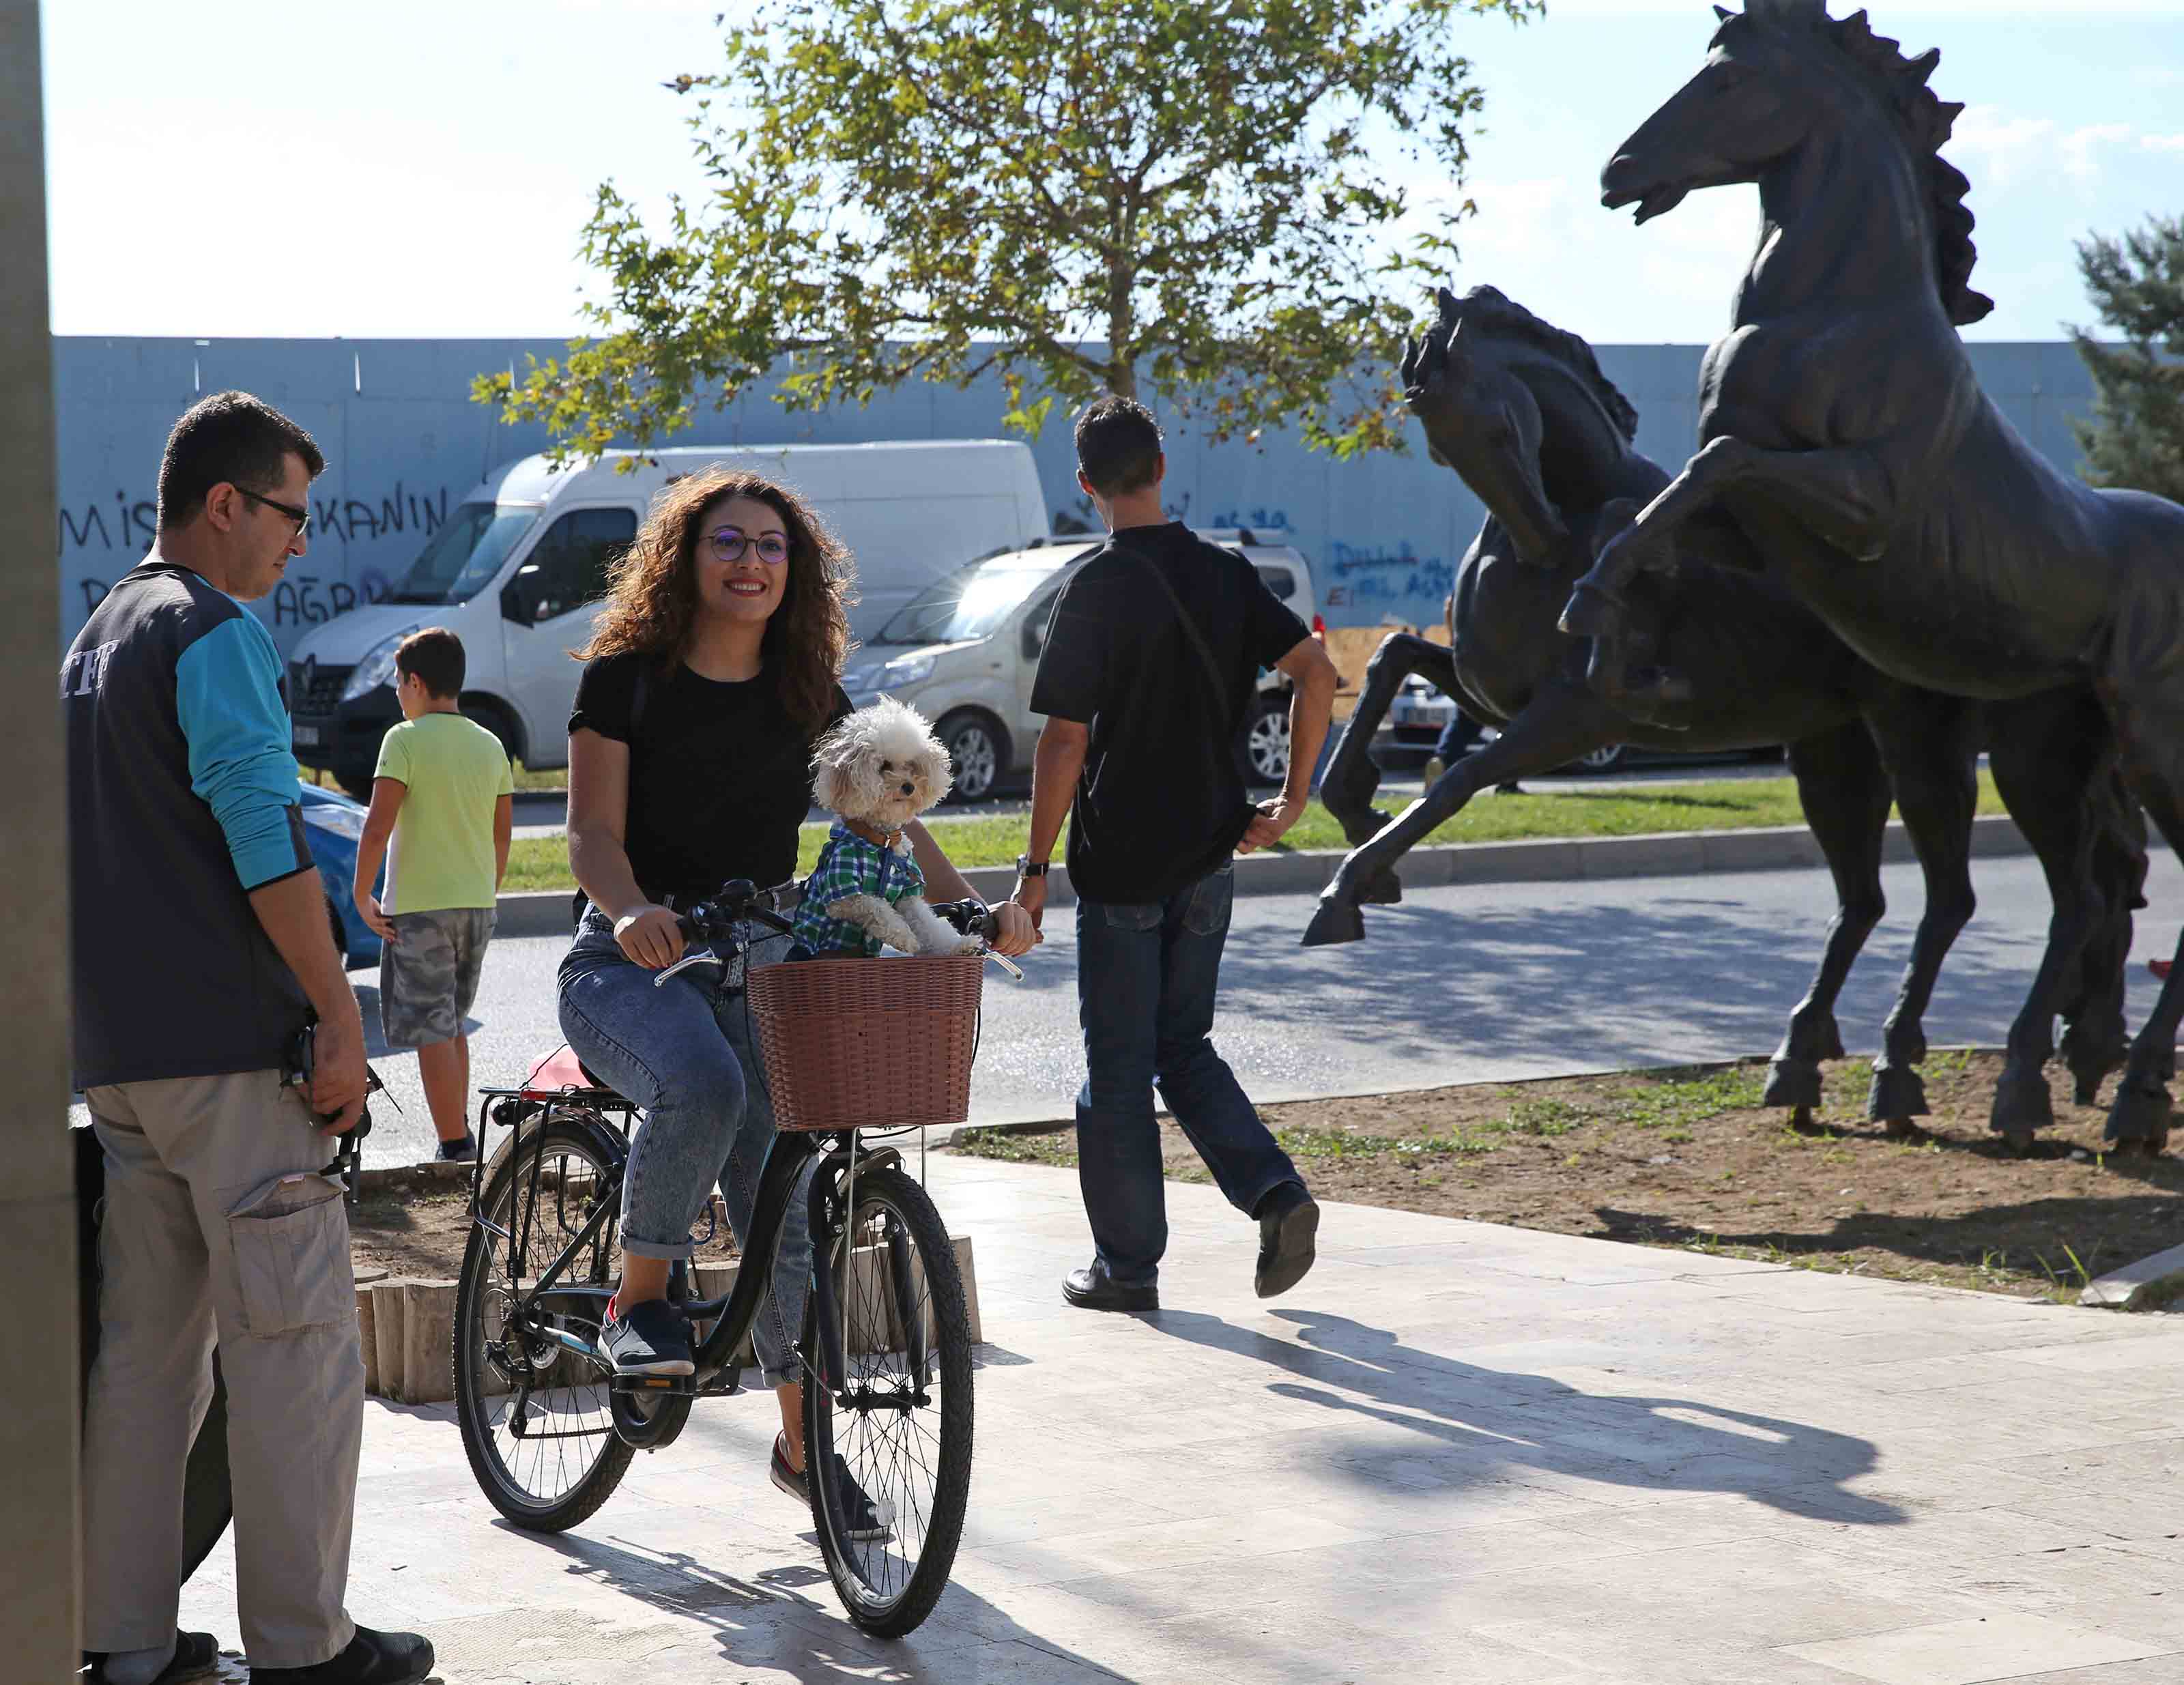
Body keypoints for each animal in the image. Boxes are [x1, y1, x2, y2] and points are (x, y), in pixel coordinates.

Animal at [794, 698, 983, 960]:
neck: (881, 841)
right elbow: (877, 907)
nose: (909, 786)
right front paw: (904, 937)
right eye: (884, 766)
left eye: (911, 765)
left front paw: (958, 945)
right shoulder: (844, 893)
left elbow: (929, 924)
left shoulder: (908, 894)